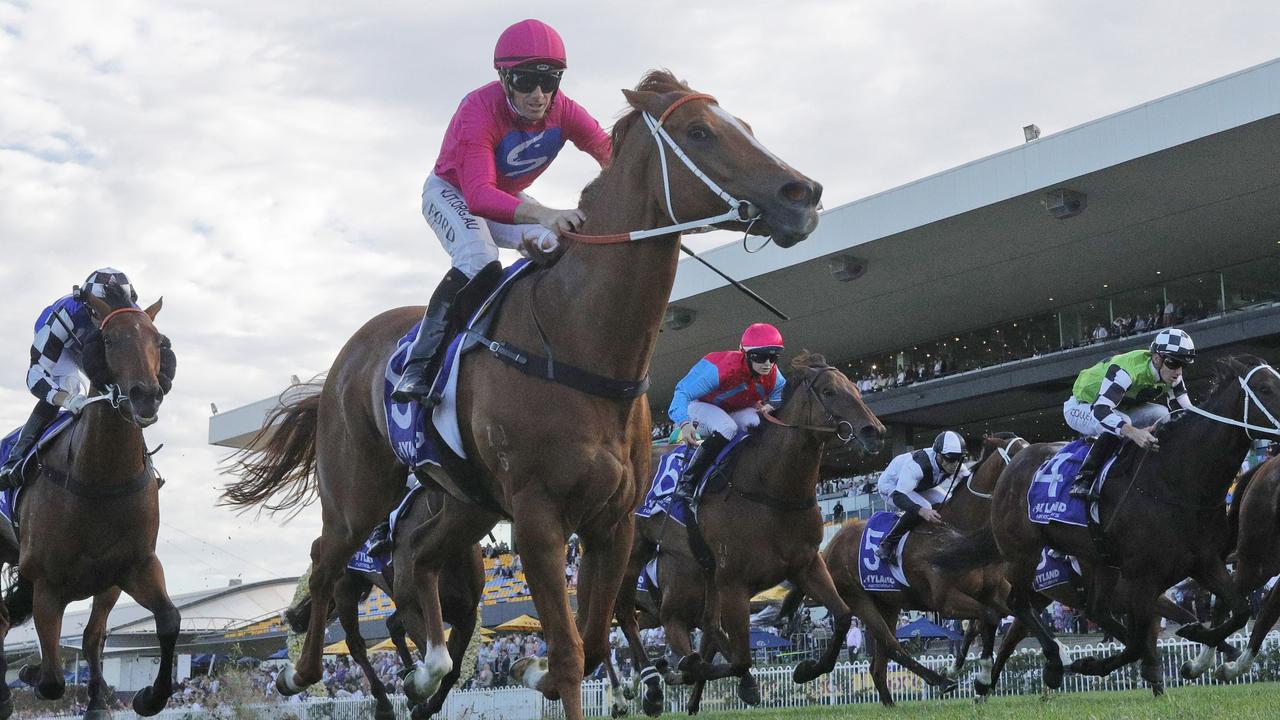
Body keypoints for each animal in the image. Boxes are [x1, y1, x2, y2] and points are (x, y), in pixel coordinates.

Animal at [0, 285, 176, 717]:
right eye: (109, 340)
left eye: (158, 341)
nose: (145, 397)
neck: (99, 476)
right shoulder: (46, 583)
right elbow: (51, 680)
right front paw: (28, 674)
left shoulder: (130, 568)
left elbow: (165, 621)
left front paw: (147, 696)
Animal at [220, 68, 819, 717]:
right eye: (699, 131)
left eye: (746, 126)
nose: (803, 193)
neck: (580, 337)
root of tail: (341, 366)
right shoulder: (538, 517)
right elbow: (571, 651)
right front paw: (563, 674)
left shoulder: (613, 524)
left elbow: (588, 640)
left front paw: (547, 673)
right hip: (358, 494)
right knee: (327, 566)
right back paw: (301, 671)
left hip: (464, 500)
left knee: (416, 559)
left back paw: (426, 673)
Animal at [616, 351, 896, 707]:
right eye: (830, 391)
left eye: (855, 387)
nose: (875, 431)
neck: (769, 489)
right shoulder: (734, 583)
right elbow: (739, 659)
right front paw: (690, 671)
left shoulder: (806, 563)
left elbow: (844, 617)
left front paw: (806, 669)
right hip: (634, 552)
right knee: (626, 613)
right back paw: (652, 682)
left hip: (700, 569)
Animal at [942, 356, 1280, 691]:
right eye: (1265, 388)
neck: (1174, 479)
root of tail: (1013, 467)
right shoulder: (1143, 578)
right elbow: (1138, 643)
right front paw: (1092, 663)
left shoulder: (1202, 561)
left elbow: (1240, 611)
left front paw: (1200, 652)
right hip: (1022, 553)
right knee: (1015, 606)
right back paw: (1044, 662)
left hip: (1097, 560)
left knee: (1088, 611)